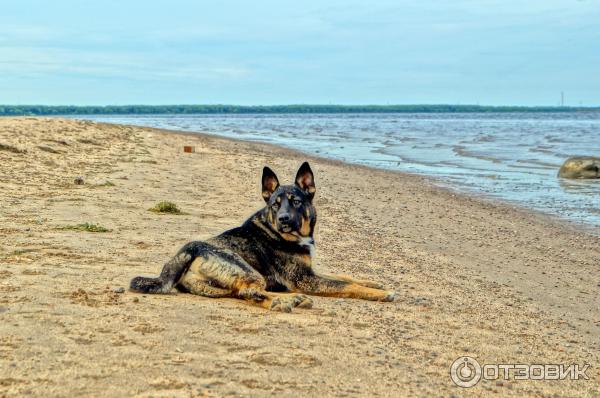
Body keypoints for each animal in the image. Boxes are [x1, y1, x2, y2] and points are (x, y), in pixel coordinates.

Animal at [129, 162, 396, 310]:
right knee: (249, 292)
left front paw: (373, 283)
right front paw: (381, 294)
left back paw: (294, 300)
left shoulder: (310, 274)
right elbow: (347, 285)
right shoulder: (306, 280)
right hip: (245, 268)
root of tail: (189, 250)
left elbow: (345, 276)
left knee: (242, 293)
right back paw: (282, 303)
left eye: (296, 202)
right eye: (275, 205)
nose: (284, 219)